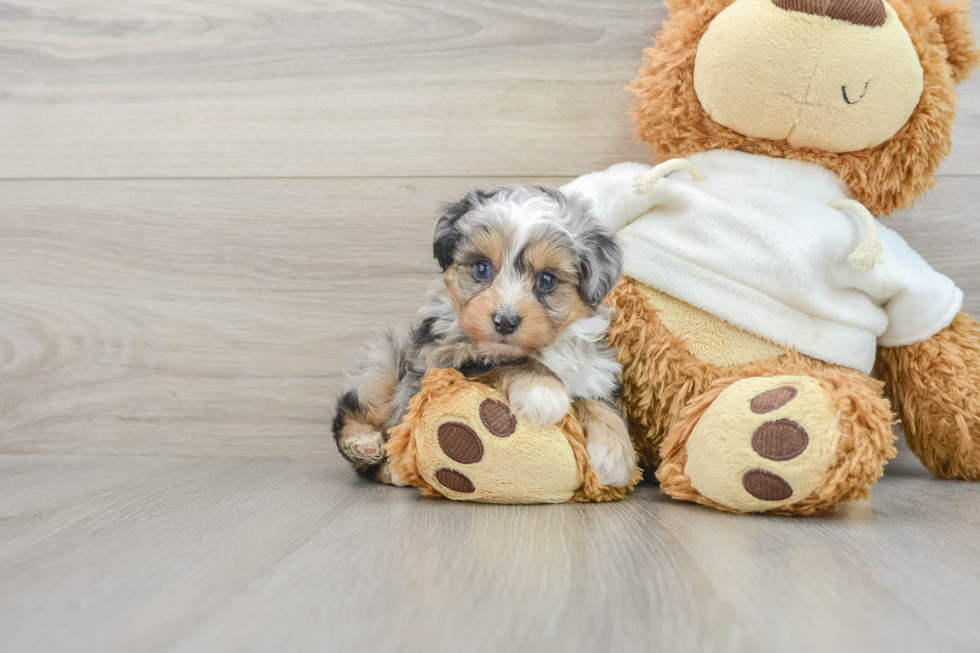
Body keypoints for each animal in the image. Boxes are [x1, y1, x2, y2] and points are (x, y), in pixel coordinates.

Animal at [330, 183, 636, 484]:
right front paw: (543, 392)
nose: (505, 322)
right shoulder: (440, 361)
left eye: (547, 280)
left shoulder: (592, 372)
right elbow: (501, 361)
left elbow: (600, 403)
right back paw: (365, 445)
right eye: (481, 268)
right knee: (353, 409)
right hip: (384, 364)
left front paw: (614, 454)